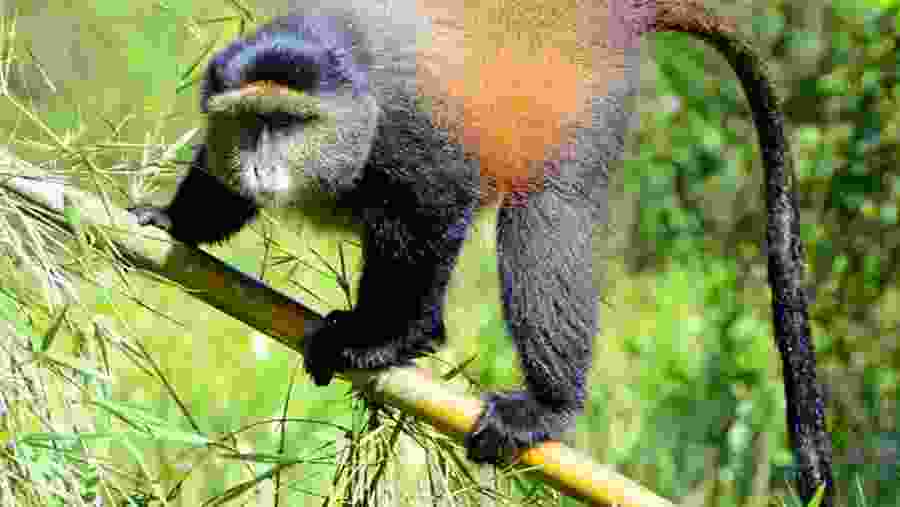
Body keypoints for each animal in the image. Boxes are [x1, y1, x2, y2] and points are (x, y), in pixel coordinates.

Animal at [130, 0, 832, 501]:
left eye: (288, 123)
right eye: (249, 123)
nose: (261, 165)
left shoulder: (413, 135)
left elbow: (433, 215)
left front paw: (387, 340)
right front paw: (170, 220)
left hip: (579, 104)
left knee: (544, 216)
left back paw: (546, 405)